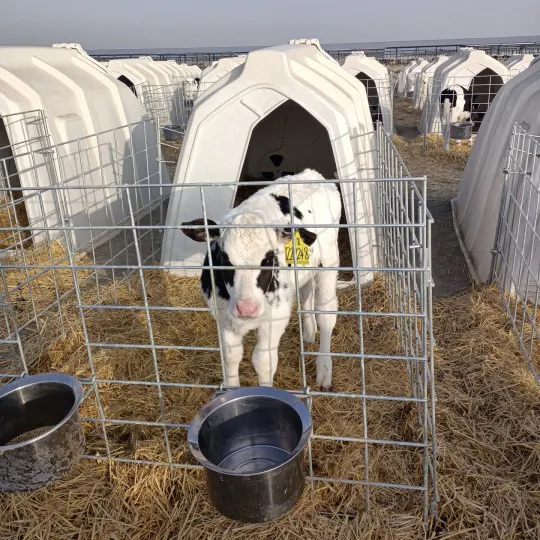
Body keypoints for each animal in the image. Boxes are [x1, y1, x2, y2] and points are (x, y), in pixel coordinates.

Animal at [181, 169, 342, 388]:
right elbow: (230, 356)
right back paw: (309, 332)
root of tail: (311, 174)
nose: (247, 308)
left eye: (268, 258)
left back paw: (324, 369)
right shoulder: (222, 315)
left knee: (326, 314)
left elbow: (263, 361)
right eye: (224, 258)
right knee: (306, 291)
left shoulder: (277, 316)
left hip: (329, 261)